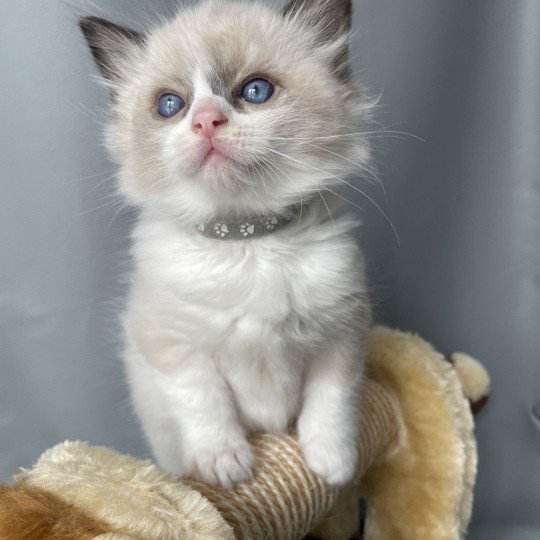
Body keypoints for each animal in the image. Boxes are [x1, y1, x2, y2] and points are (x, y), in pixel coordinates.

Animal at [81, 0, 372, 490]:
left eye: (255, 91)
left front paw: (331, 465)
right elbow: (205, 402)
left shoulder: (342, 333)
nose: (206, 121)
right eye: (170, 105)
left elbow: (330, 399)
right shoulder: (173, 346)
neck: (246, 241)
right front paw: (226, 466)